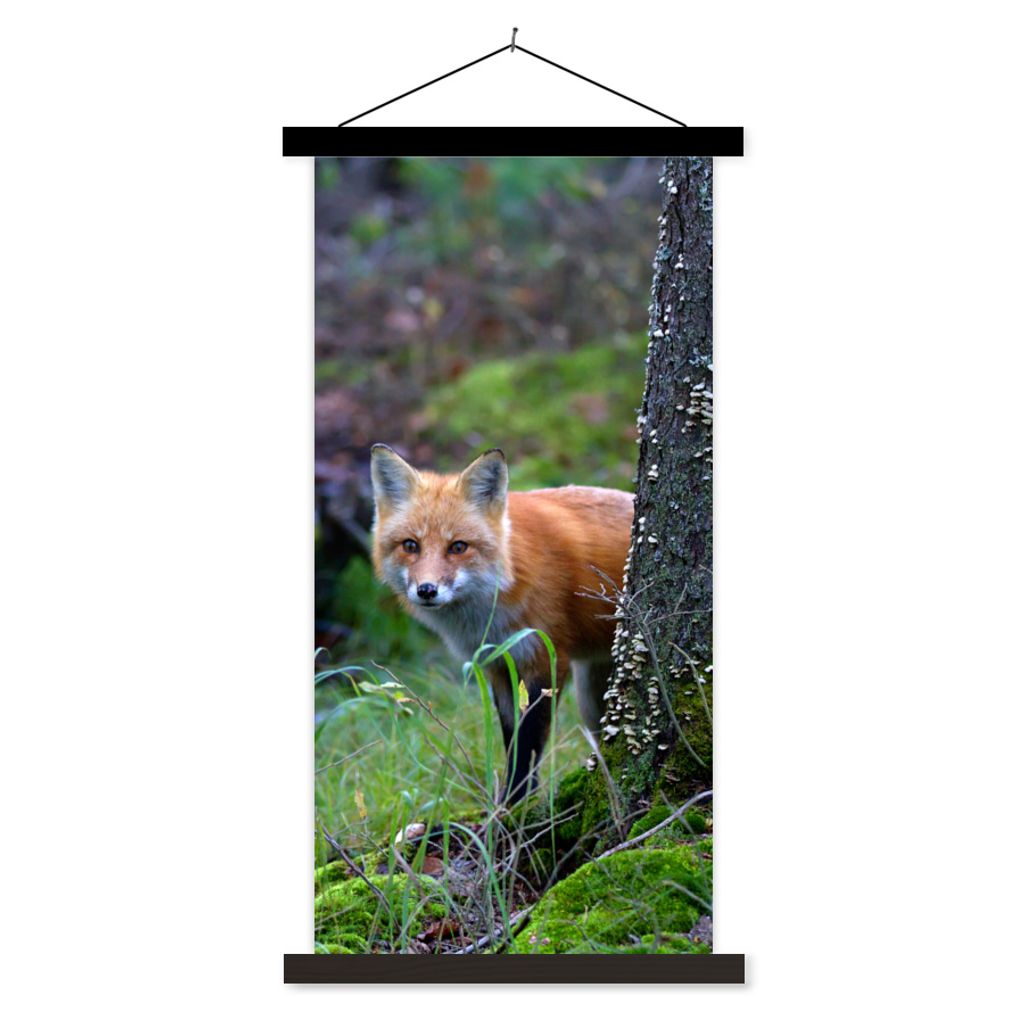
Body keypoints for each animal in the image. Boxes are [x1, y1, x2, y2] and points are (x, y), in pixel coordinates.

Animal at [370, 444, 633, 804]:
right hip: (592, 694)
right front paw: (512, 801)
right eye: (411, 545)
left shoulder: (545, 658)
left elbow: (529, 742)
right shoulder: (497, 662)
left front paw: (516, 805)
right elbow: (511, 737)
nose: (426, 590)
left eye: (458, 547)